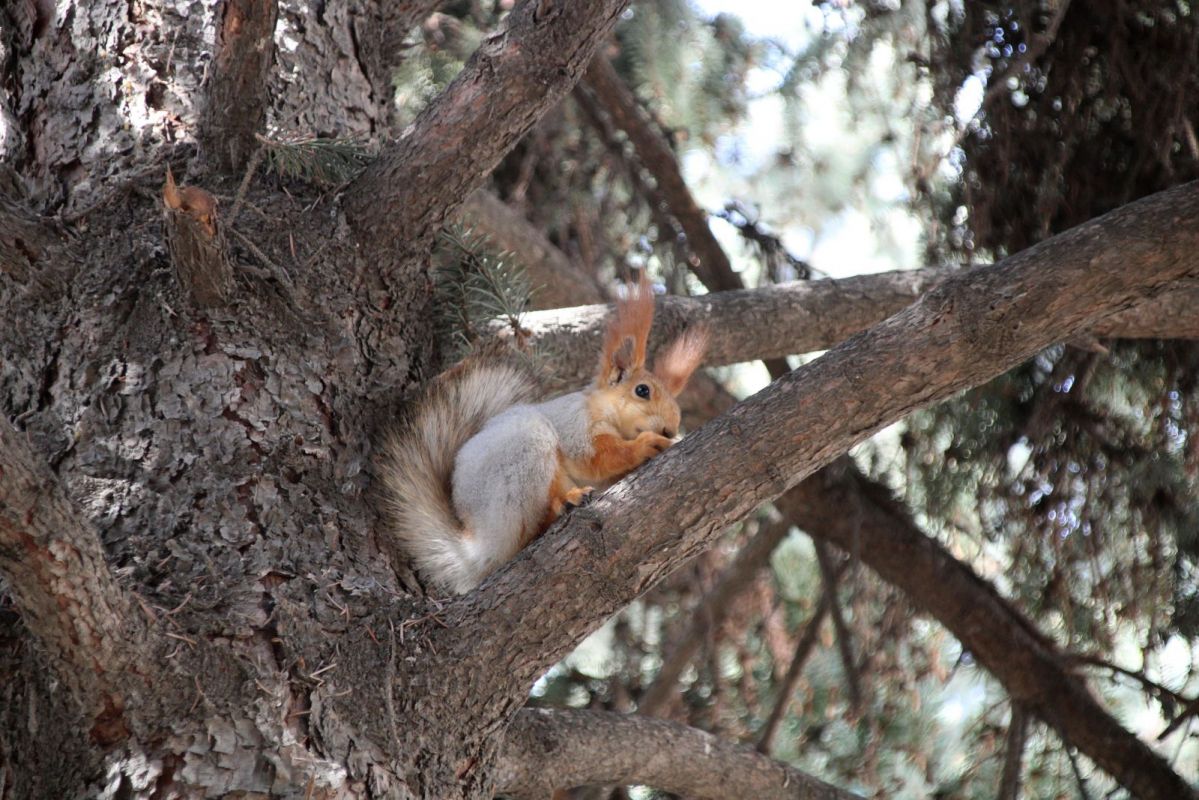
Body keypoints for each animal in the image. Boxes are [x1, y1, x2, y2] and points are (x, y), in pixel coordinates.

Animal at [378, 275, 705, 594]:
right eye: (642, 391)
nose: (670, 428)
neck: (603, 410)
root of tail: (475, 548)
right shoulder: (575, 426)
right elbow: (598, 457)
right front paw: (647, 444)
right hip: (522, 458)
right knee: (527, 531)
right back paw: (566, 503)